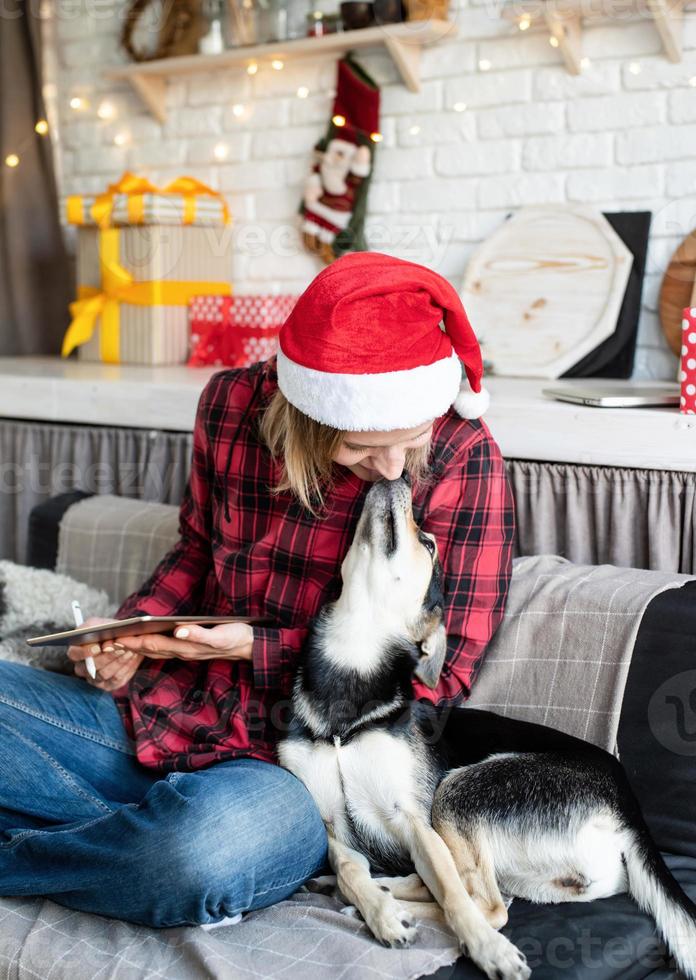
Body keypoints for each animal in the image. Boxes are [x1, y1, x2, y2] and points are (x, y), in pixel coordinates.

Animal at [278, 470, 696, 976]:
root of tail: (630, 811)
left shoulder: (416, 819)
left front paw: (486, 948)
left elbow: (455, 897)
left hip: (460, 792)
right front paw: (378, 910)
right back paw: (371, 893)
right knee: (475, 891)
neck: (348, 694)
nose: (397, 477)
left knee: (483, 902)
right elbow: (351, 871)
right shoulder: (333, 828)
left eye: (429, 544)